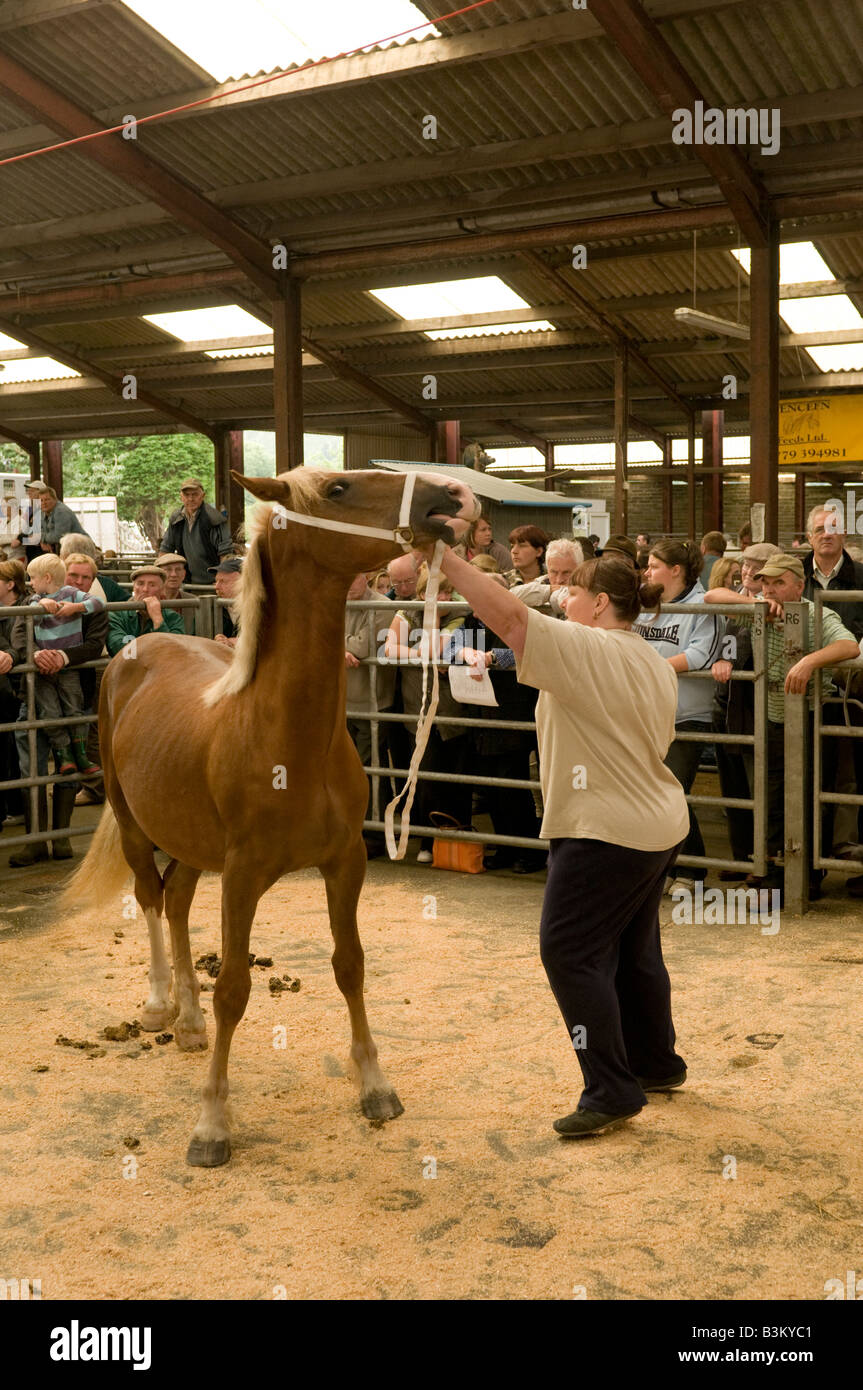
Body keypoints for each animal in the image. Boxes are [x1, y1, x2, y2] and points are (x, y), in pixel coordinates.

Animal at [63, 467, 475, 1162]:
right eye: (337, 489)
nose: (448, 499)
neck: (284, 738)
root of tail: (135, 648)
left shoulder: (345, 862)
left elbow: (350, 965)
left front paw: (374, 1086)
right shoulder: (243, 874)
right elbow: (234, 989)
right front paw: (211, 1125)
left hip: (194, 846)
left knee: (176, 902)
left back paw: (189, 1023)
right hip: (135, 825)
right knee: (150, 899)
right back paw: (158, 1006)